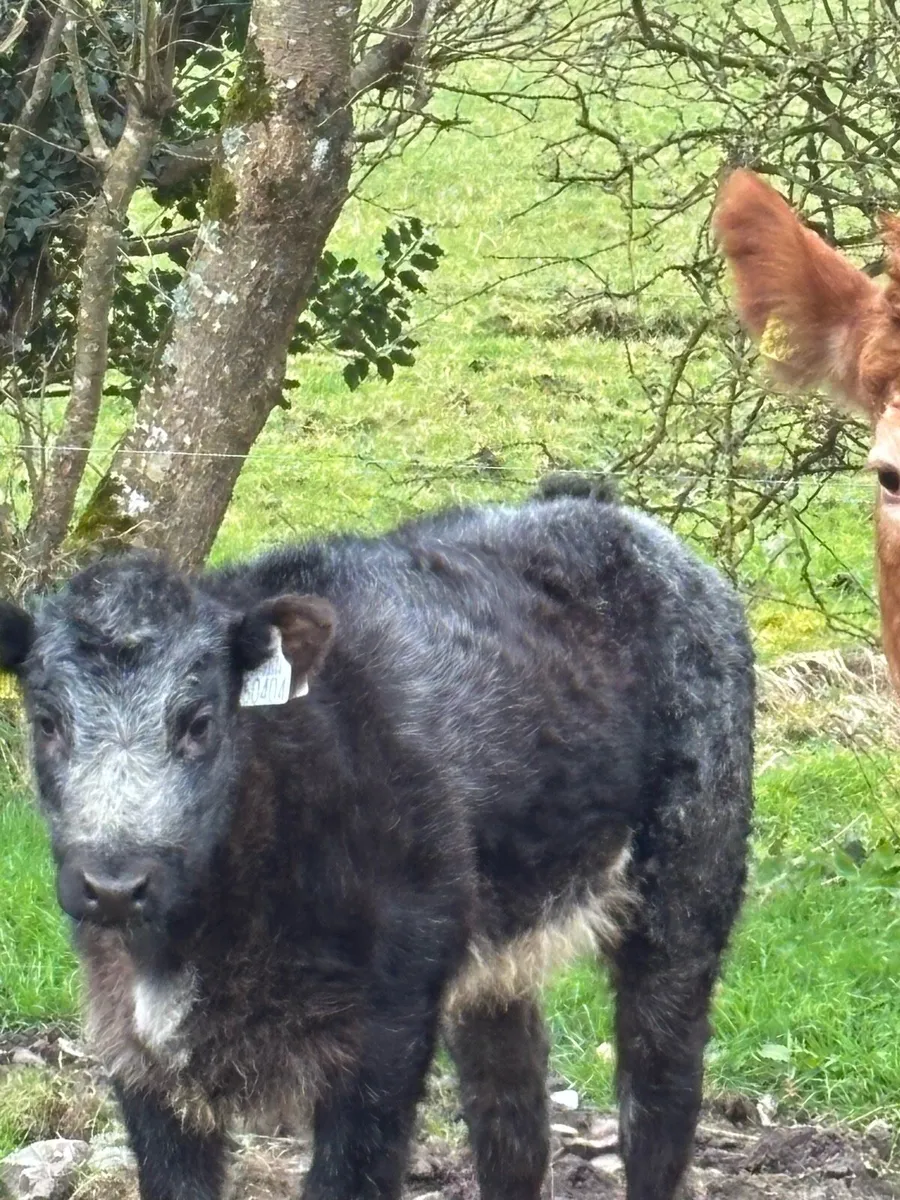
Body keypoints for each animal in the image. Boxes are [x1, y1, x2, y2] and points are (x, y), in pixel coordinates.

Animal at [0, 480, 754, 1200]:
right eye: (45, 720)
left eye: (200, 721)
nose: (113, 886)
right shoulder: (131, 1041)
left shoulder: (387, 1030)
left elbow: (350, 1179)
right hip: (496, 956)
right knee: (513, 1123)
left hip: (691, 882)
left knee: (660, 1096)